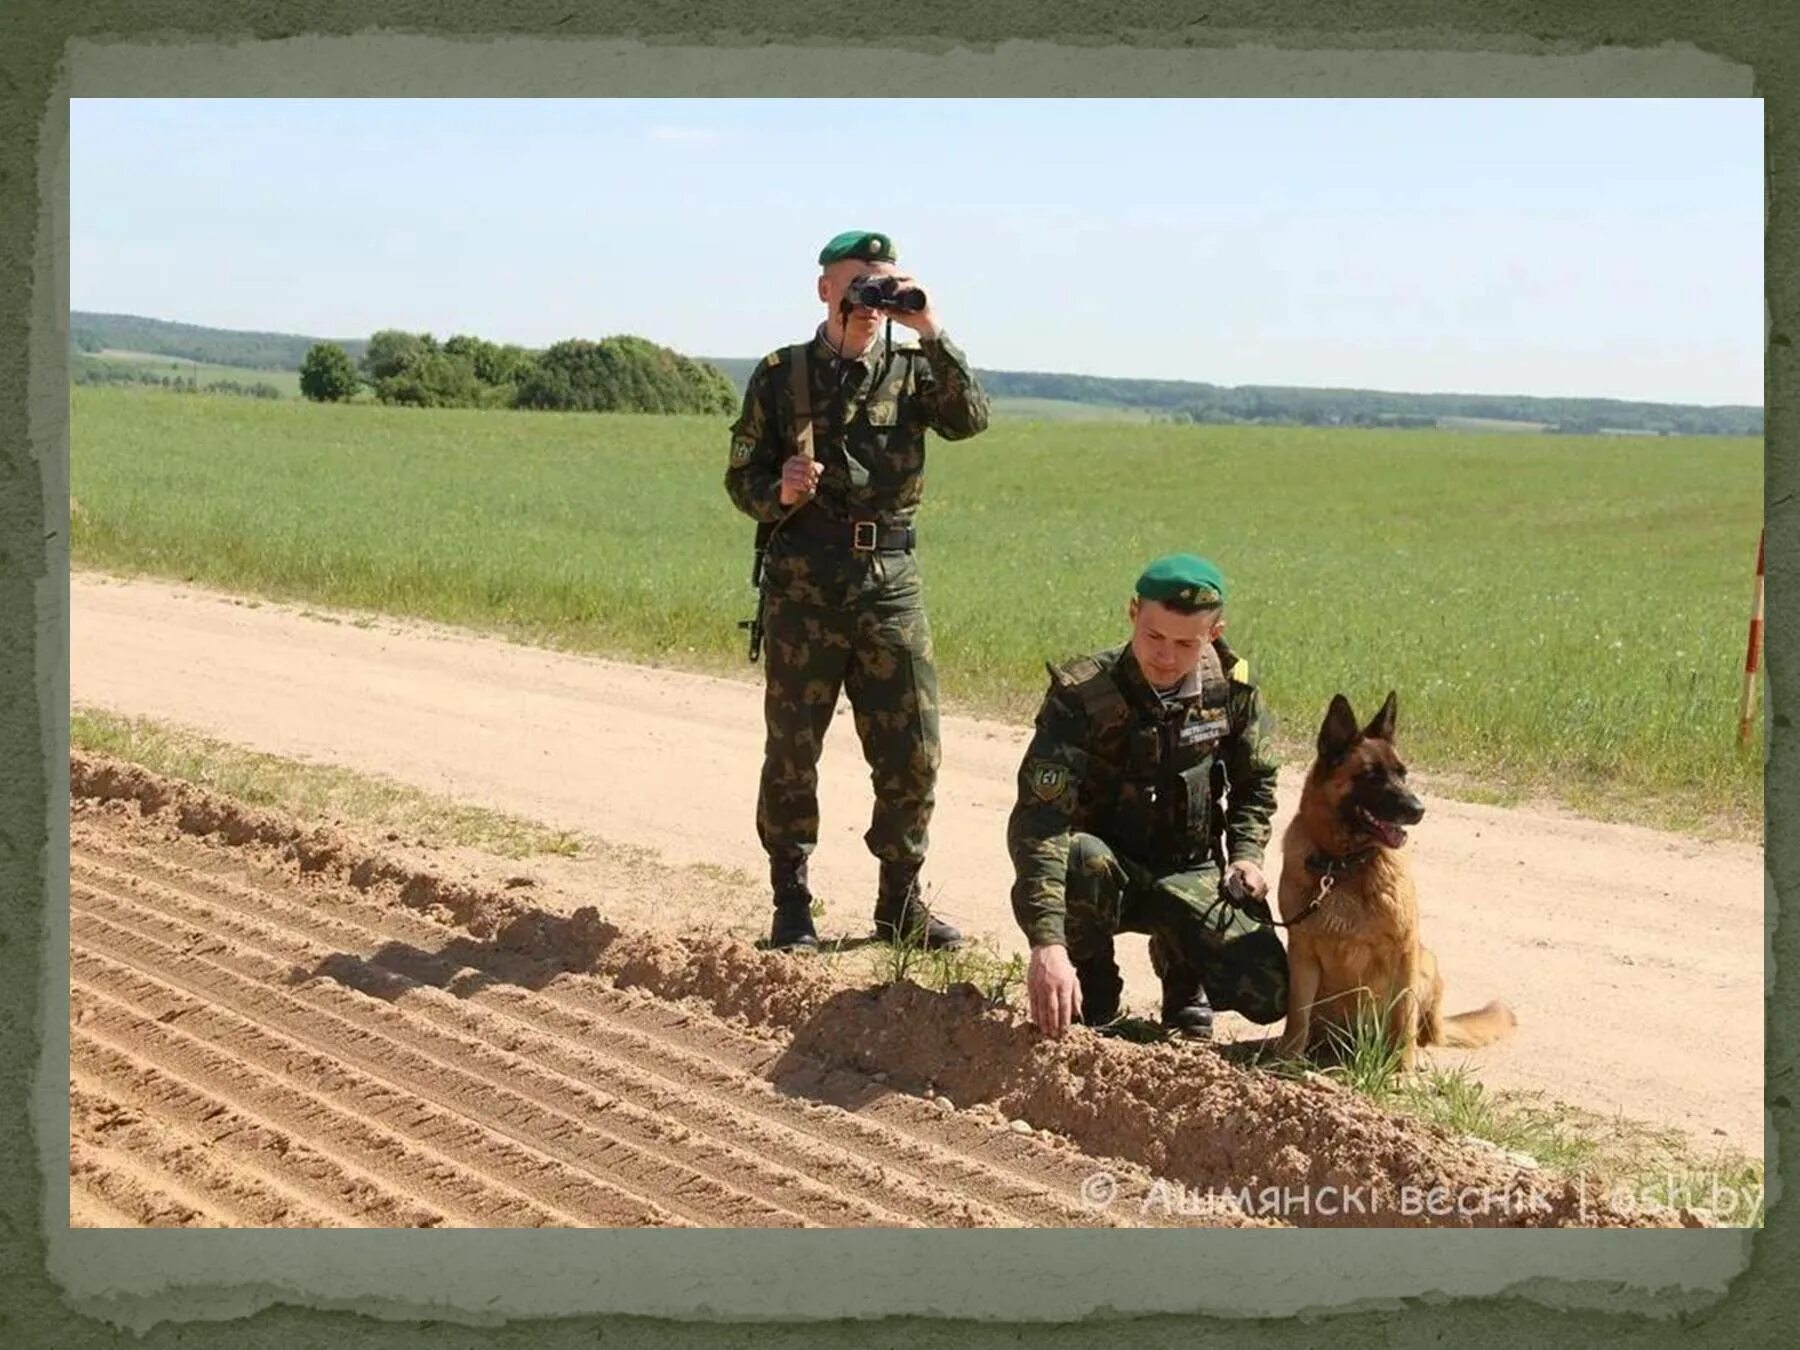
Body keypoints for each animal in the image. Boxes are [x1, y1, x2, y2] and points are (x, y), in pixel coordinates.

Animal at [1274, 698, 1512, 1065]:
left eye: (1403, 774)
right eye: (1371, 776)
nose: (1419, 810)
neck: (1344, 866)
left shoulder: (1404, 950)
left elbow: (1403, 1018)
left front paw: (1403, 1069)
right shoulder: (1302, 953)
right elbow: (1297, 1016)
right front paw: (1286, 1063)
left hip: (1427, 963)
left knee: (1426, 1032)